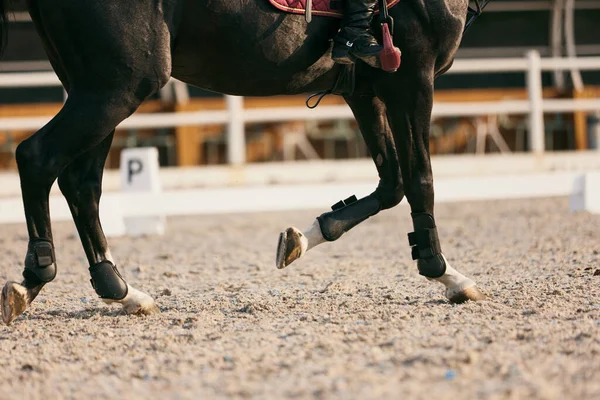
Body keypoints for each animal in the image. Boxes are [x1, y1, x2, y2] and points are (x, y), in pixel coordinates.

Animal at [0, 0, 488, 324]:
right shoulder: (412, 81)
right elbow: (420, 179)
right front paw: (445, 273)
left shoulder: (366, 91)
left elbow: (391, 184)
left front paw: (303, 238)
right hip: (118, 86)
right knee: (38, 158)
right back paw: (35, 276)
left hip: (96, 87)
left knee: (81, 184)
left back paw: (119, 290)